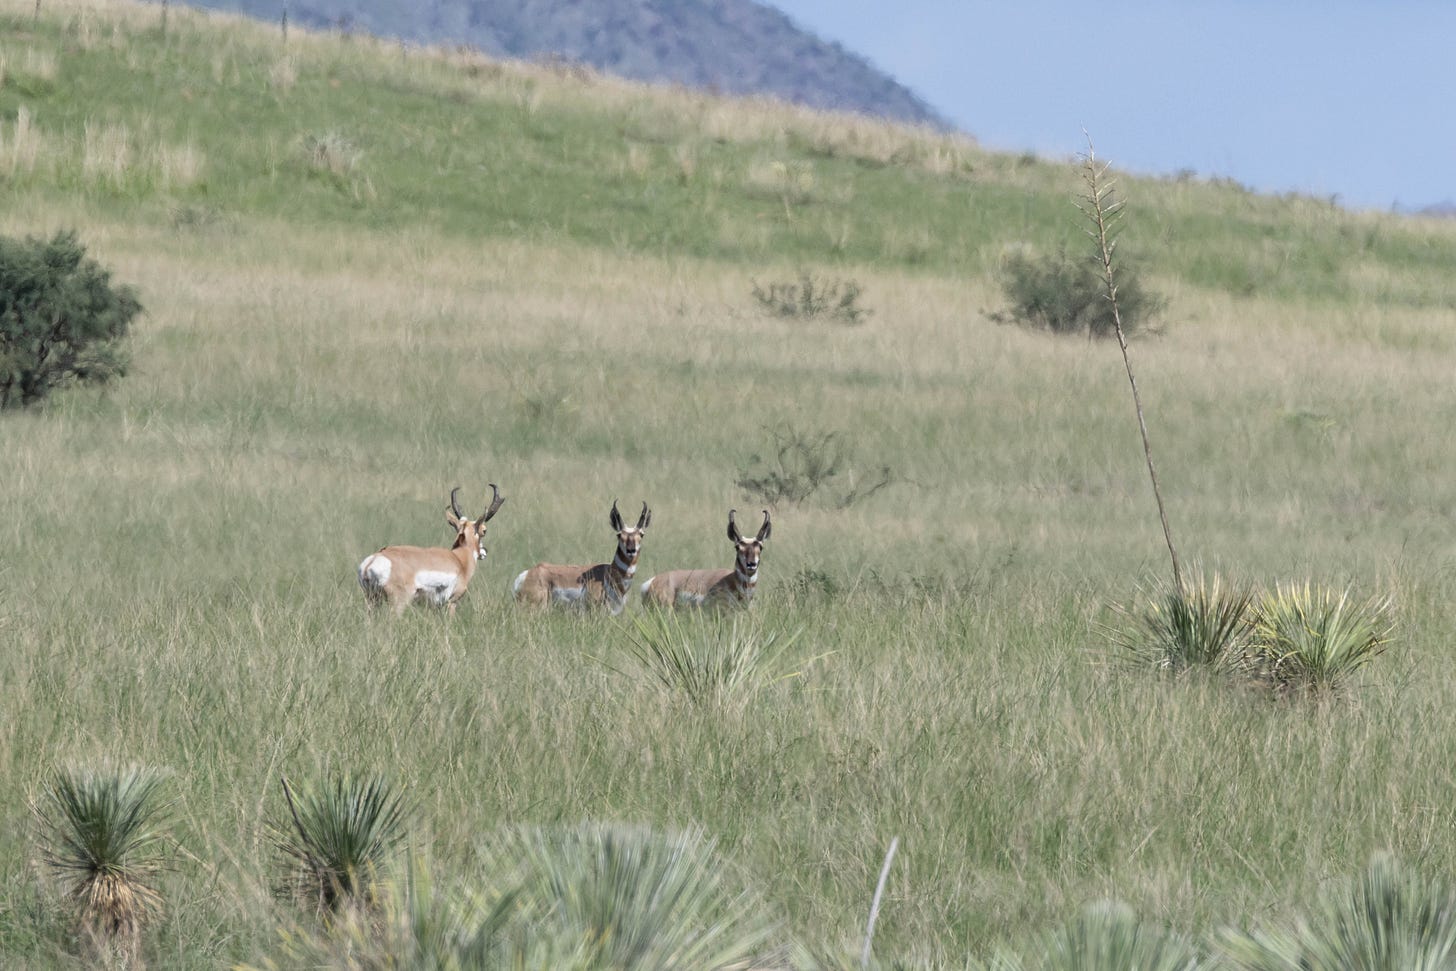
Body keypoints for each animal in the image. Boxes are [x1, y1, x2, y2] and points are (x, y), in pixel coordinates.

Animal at [358, 485, 505, 615]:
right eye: (484, 531)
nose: (484, 552)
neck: (459, 559)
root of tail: (372, 562)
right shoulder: (452, 602)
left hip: (372, 601)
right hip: (398, 602)